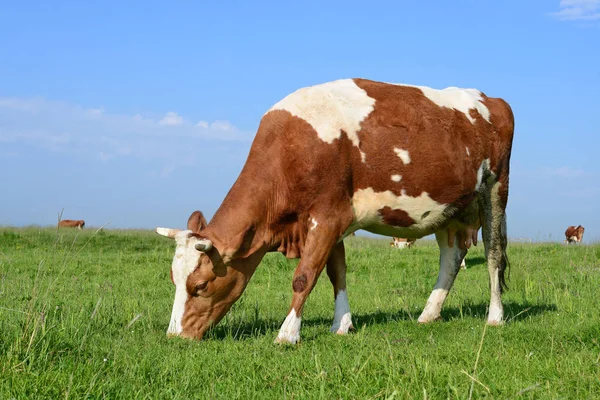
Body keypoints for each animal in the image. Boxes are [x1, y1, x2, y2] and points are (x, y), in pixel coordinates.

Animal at [156, 78, 516, 344]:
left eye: (200, 286)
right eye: (174, 280)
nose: (175, 336)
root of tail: (493, 99)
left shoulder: (327, 217)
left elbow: (304, 276)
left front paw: (288, 333)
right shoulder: (334, 219)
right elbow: (336, 272)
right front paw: (342, 325)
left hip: (494, 190)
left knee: (493, 253)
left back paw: (495, 317)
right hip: (451, 210)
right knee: (452, 257)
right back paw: (429, 314)